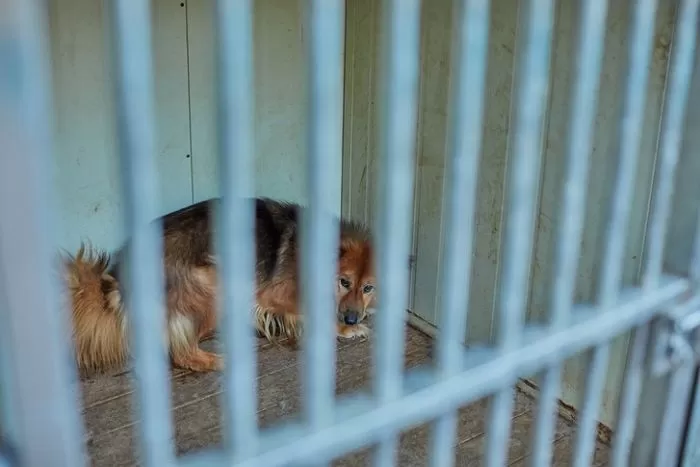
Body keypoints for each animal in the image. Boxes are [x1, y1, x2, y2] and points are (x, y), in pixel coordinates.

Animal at [61, 197, 378, 376]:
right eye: (344, 281)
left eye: (369, 288)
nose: (351, 318)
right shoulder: (274, 293)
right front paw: (346, 328)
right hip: (216, 283)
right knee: (180, 351)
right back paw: (217, 360)